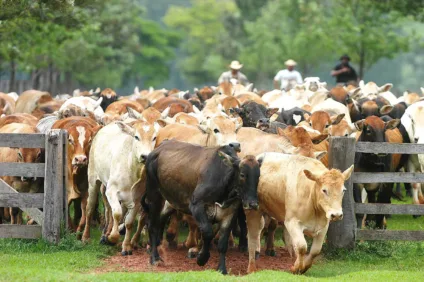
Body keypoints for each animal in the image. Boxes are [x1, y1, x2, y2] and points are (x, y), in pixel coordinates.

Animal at [144, 140, 260, 274]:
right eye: (242, 174)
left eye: (258, 176)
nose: (253, 203)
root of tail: (159, 148)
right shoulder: (196, 205)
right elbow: (207, 232)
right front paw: (201, 258)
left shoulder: (230, 213)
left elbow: (222, 244)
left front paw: (222, 269)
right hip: (154, 196)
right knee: (152, 225)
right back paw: (155, 258)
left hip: (170, 201)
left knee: (160, 219)